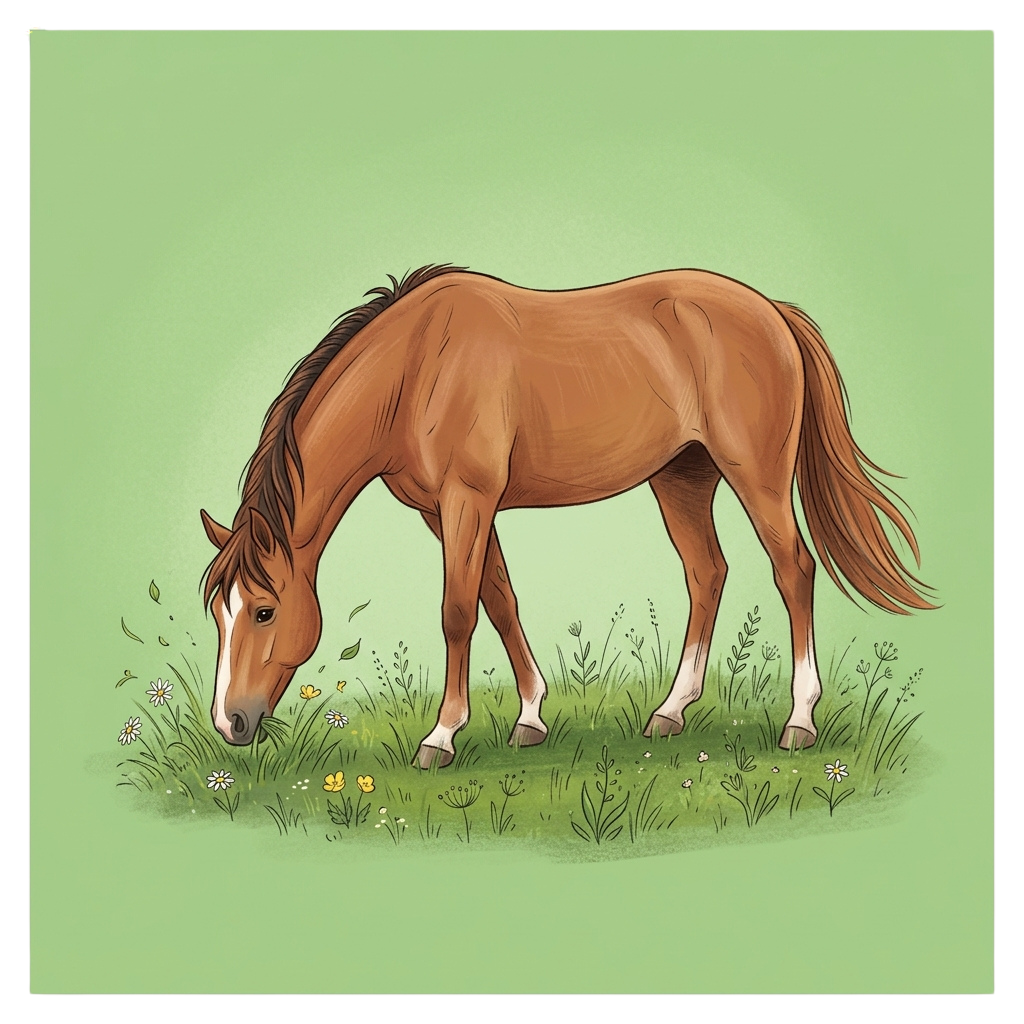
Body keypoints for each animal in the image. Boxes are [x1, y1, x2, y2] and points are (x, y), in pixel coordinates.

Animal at [200, 265, 934, 768]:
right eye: (218, 613)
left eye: (263, 610)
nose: (230, 723)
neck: (416, 366)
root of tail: (772, 311)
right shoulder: (449, 511)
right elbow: (499, 599)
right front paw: (530, 717)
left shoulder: (468, 499)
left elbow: (457, 611)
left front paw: (441, 735)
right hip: (682, 478)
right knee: (707, 573)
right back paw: (671, 711)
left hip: (757, 475)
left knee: (793, 570)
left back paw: (799, 721)